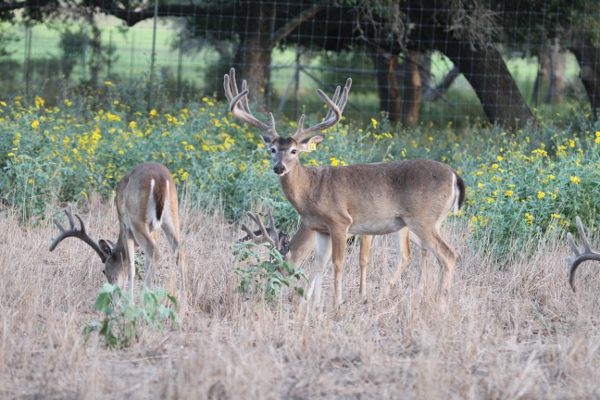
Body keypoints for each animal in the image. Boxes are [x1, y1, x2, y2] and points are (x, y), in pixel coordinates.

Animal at [49, 162, 183, 304]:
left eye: (104, 270)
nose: (112, 296)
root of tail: (160, 178)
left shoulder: (125, 226)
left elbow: (130, 268)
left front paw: (129, 303)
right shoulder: (153, 231)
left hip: (136, 219)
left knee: (154, 251)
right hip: (172, 215)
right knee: (179, 252)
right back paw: (182, 305)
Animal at [237, 211, 428, 298]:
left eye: (279, 265)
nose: (269, 290)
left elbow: (362, 260)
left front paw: (362, 294)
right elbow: (322, 263)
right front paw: (309, 295)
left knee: (408, 253)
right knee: (424, 246)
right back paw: (420, 286)